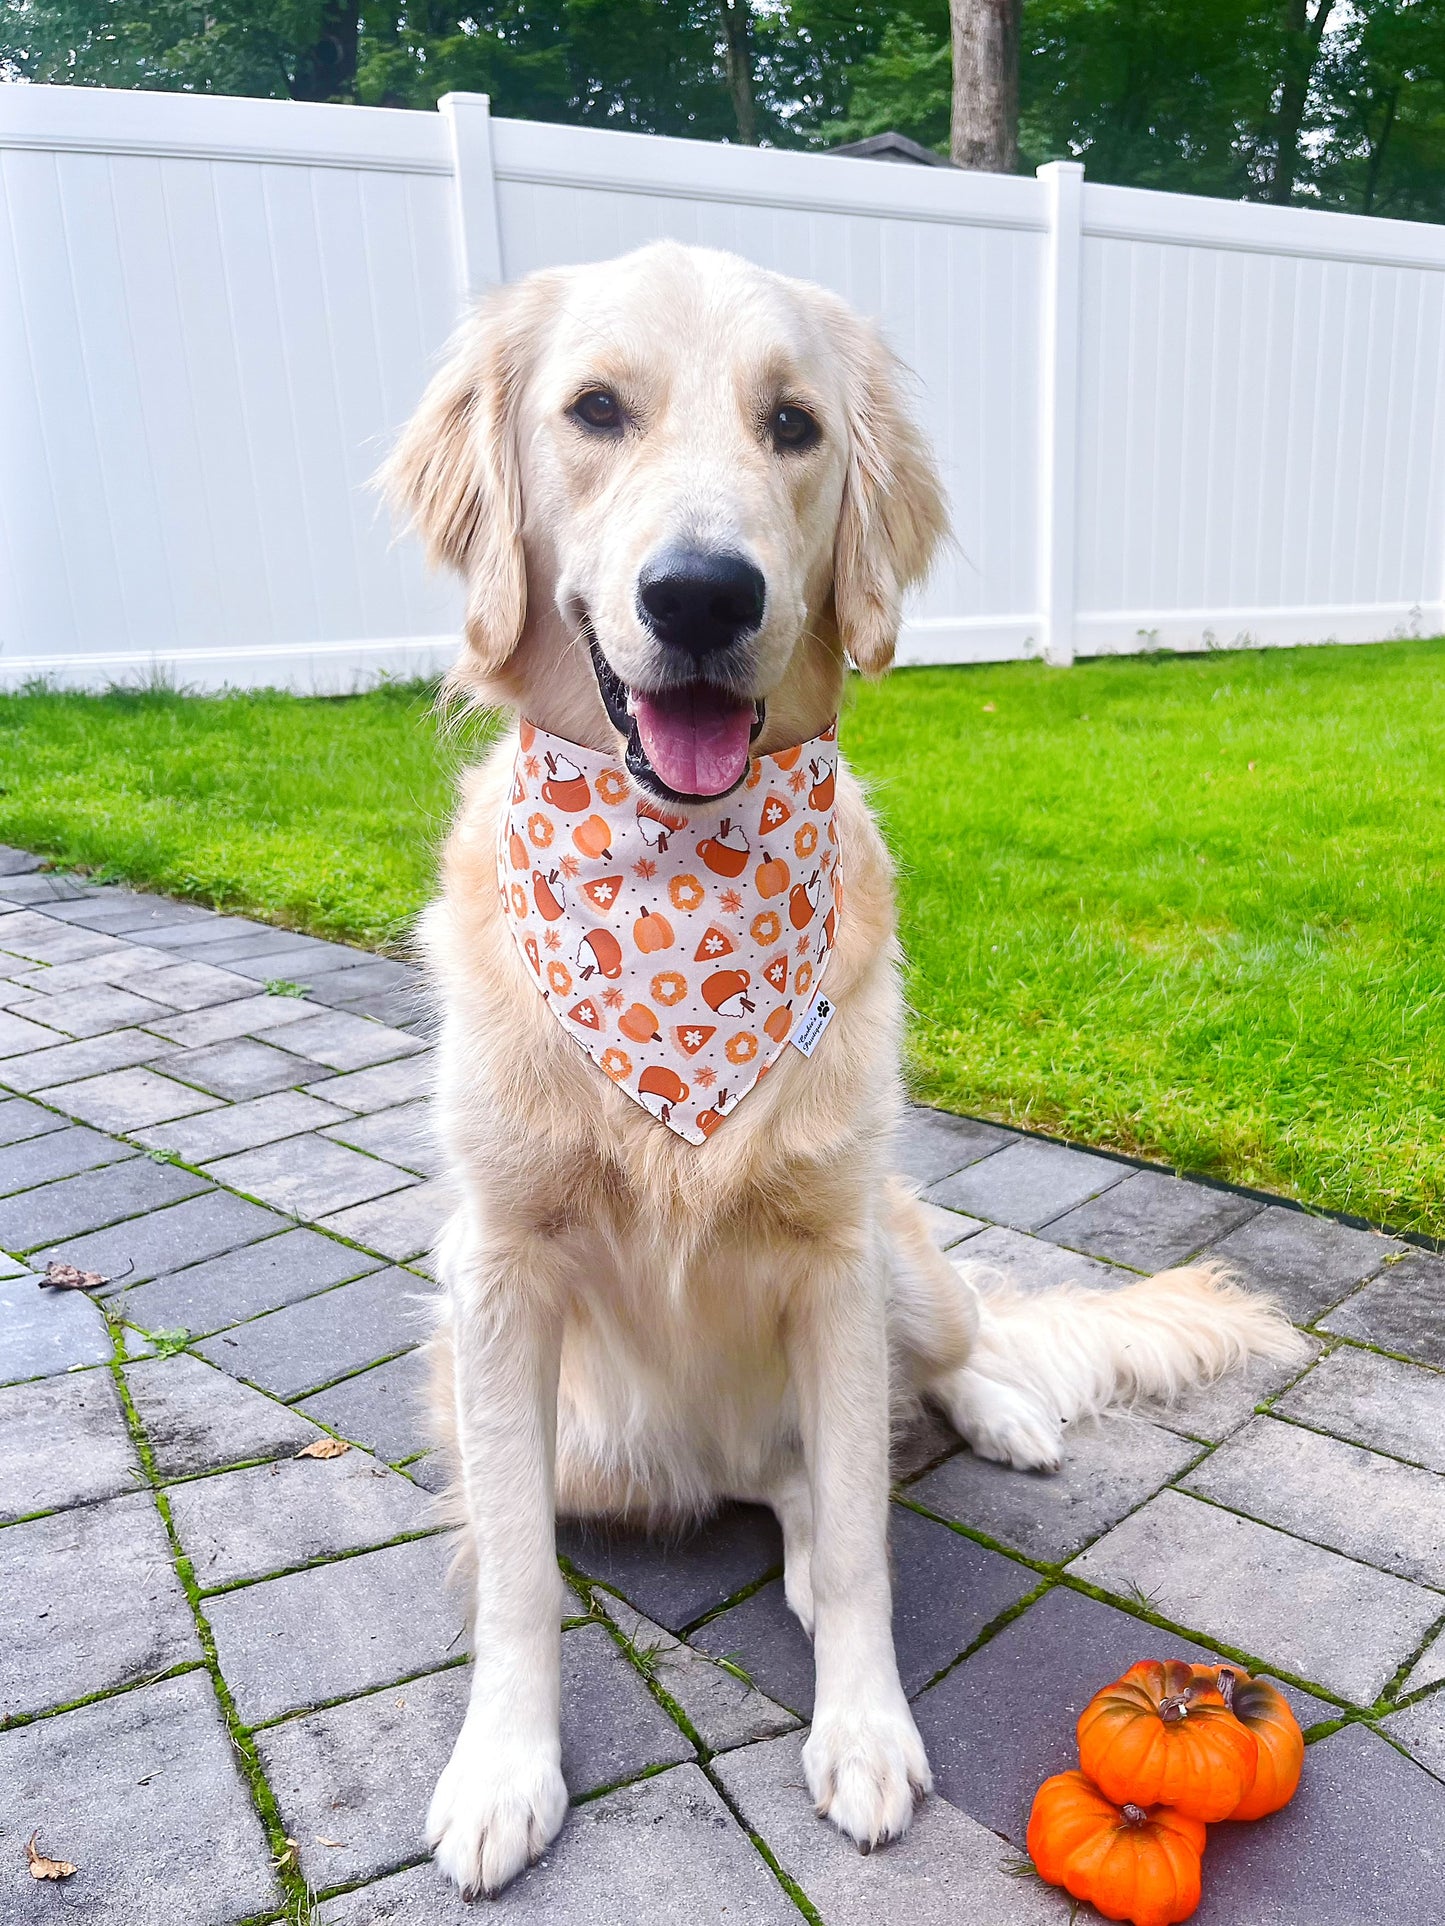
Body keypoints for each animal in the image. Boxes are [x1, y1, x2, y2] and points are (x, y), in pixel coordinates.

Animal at [381, 240, 1302, 1895]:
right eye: (595, 409)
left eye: (793, 425)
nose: (702, 593)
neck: (679, 874)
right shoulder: (492, 1278)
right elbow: (516, 1571)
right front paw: (502, 1766)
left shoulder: (830, 1260)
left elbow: (875, 1552)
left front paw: (866, 1734)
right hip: (617, 1431)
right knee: (801, 1481)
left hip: (897, 1261)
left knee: (939, 1373)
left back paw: (998, 1415)